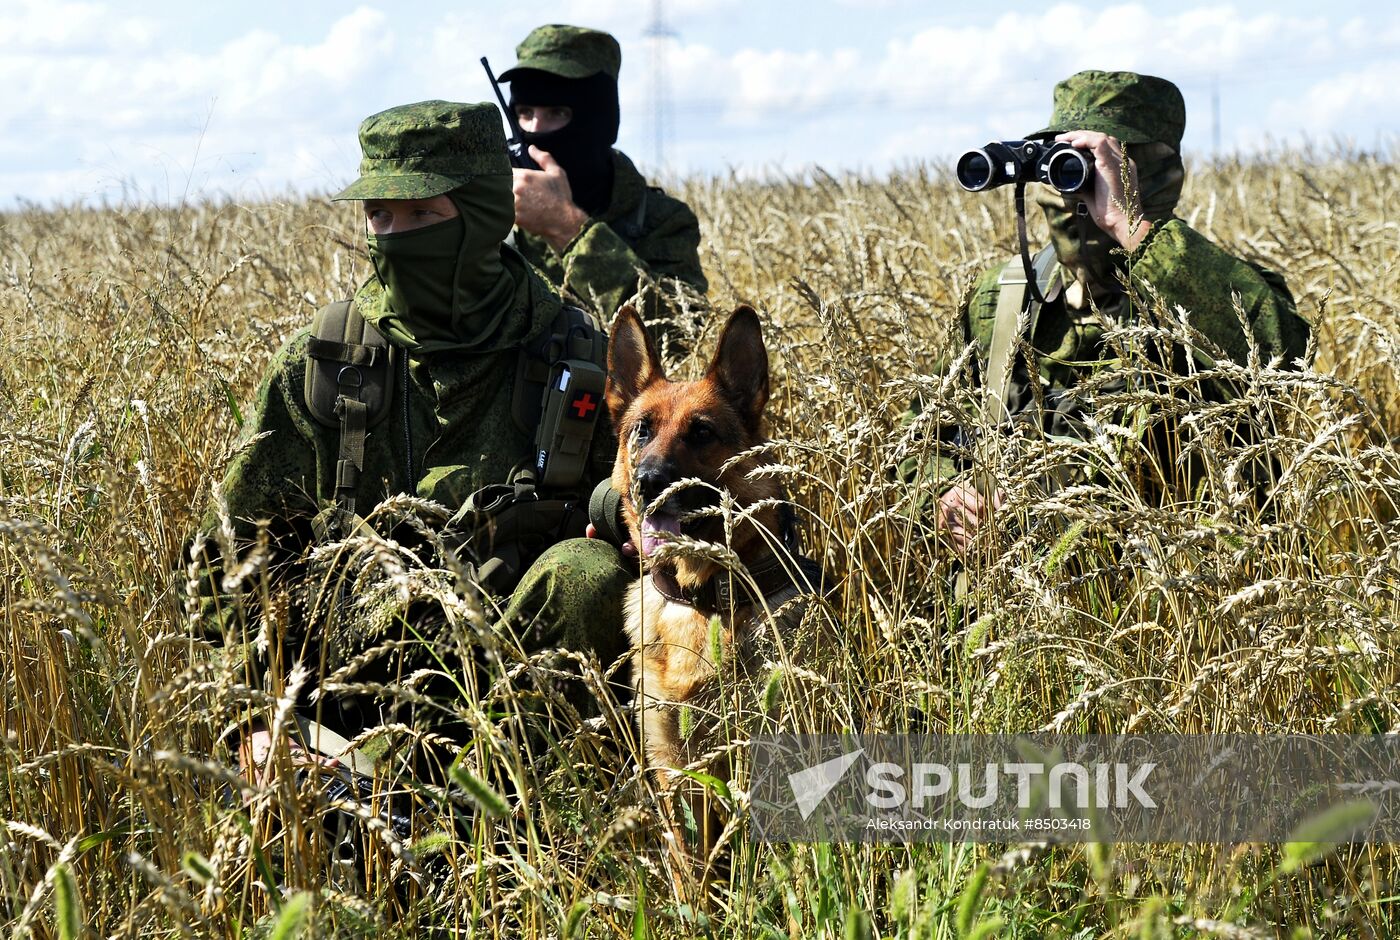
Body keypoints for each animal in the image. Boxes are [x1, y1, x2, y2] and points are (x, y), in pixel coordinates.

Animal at [607, 303, 823, 885]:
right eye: (641, 430)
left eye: (701, 432)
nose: (648, 482)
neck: (699, 599)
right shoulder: (671, 762)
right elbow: (689, 859)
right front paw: (694, 900)